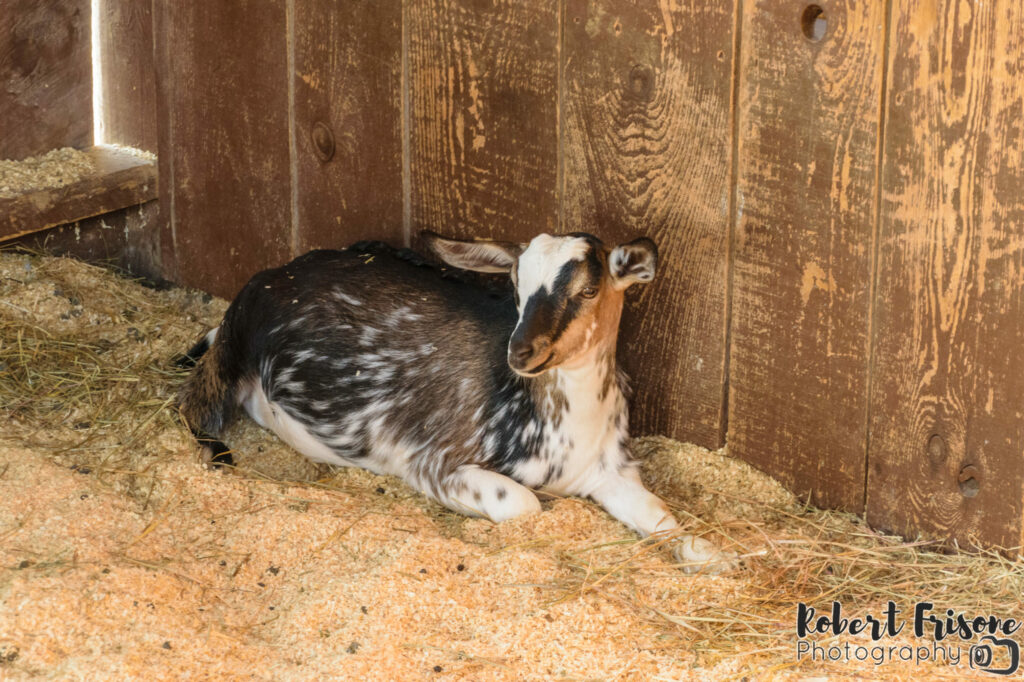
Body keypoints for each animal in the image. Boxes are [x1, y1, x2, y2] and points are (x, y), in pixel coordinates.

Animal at [176, 231, 737, 569]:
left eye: (588, 290)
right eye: (515, 286)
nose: (522, 350)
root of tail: (277, 272)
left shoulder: (611, 471)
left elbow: (663, 518)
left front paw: (717, 558)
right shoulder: (433, 459)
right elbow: (525, 504)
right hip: (233, 347)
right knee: (194, 401)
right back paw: (214, 448)